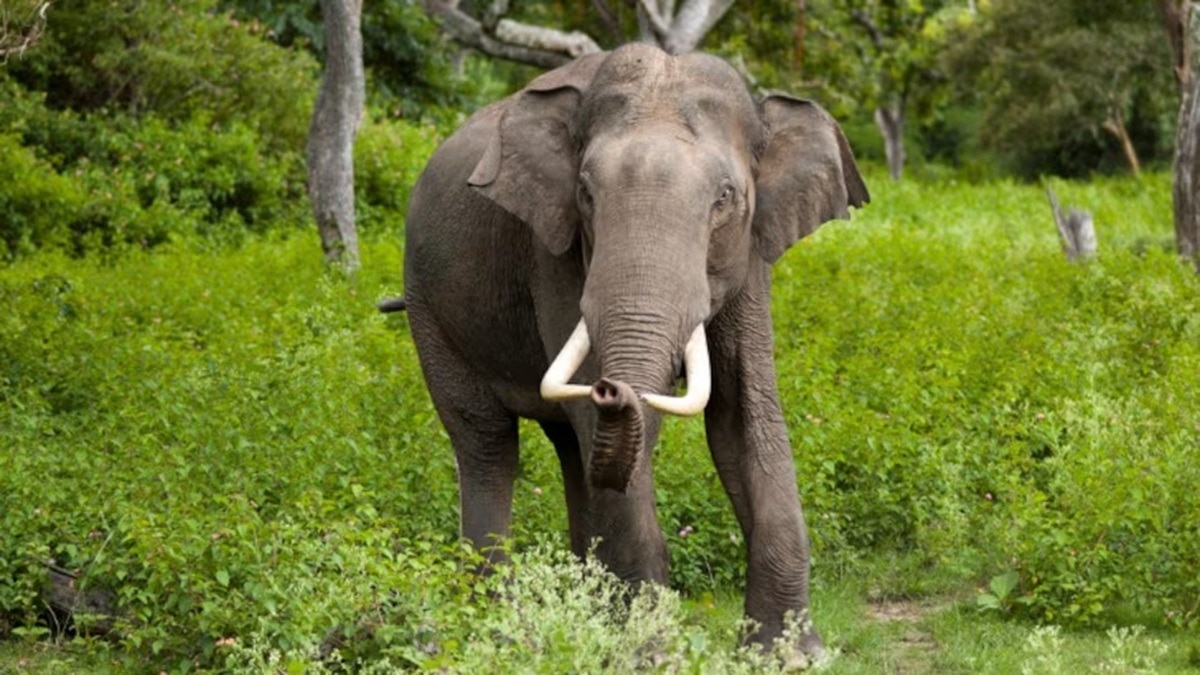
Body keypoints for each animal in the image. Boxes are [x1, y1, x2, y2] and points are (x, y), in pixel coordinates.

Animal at [394, 42, 868, 660]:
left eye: (725, 198)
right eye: (586, 193)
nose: (610, 387)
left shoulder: (751, 254)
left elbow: (744, 416)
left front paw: (788, 655)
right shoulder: (554, 250)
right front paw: (649, 653)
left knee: (571, 450)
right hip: (428, 306)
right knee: (488, 445)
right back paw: (497, 626)